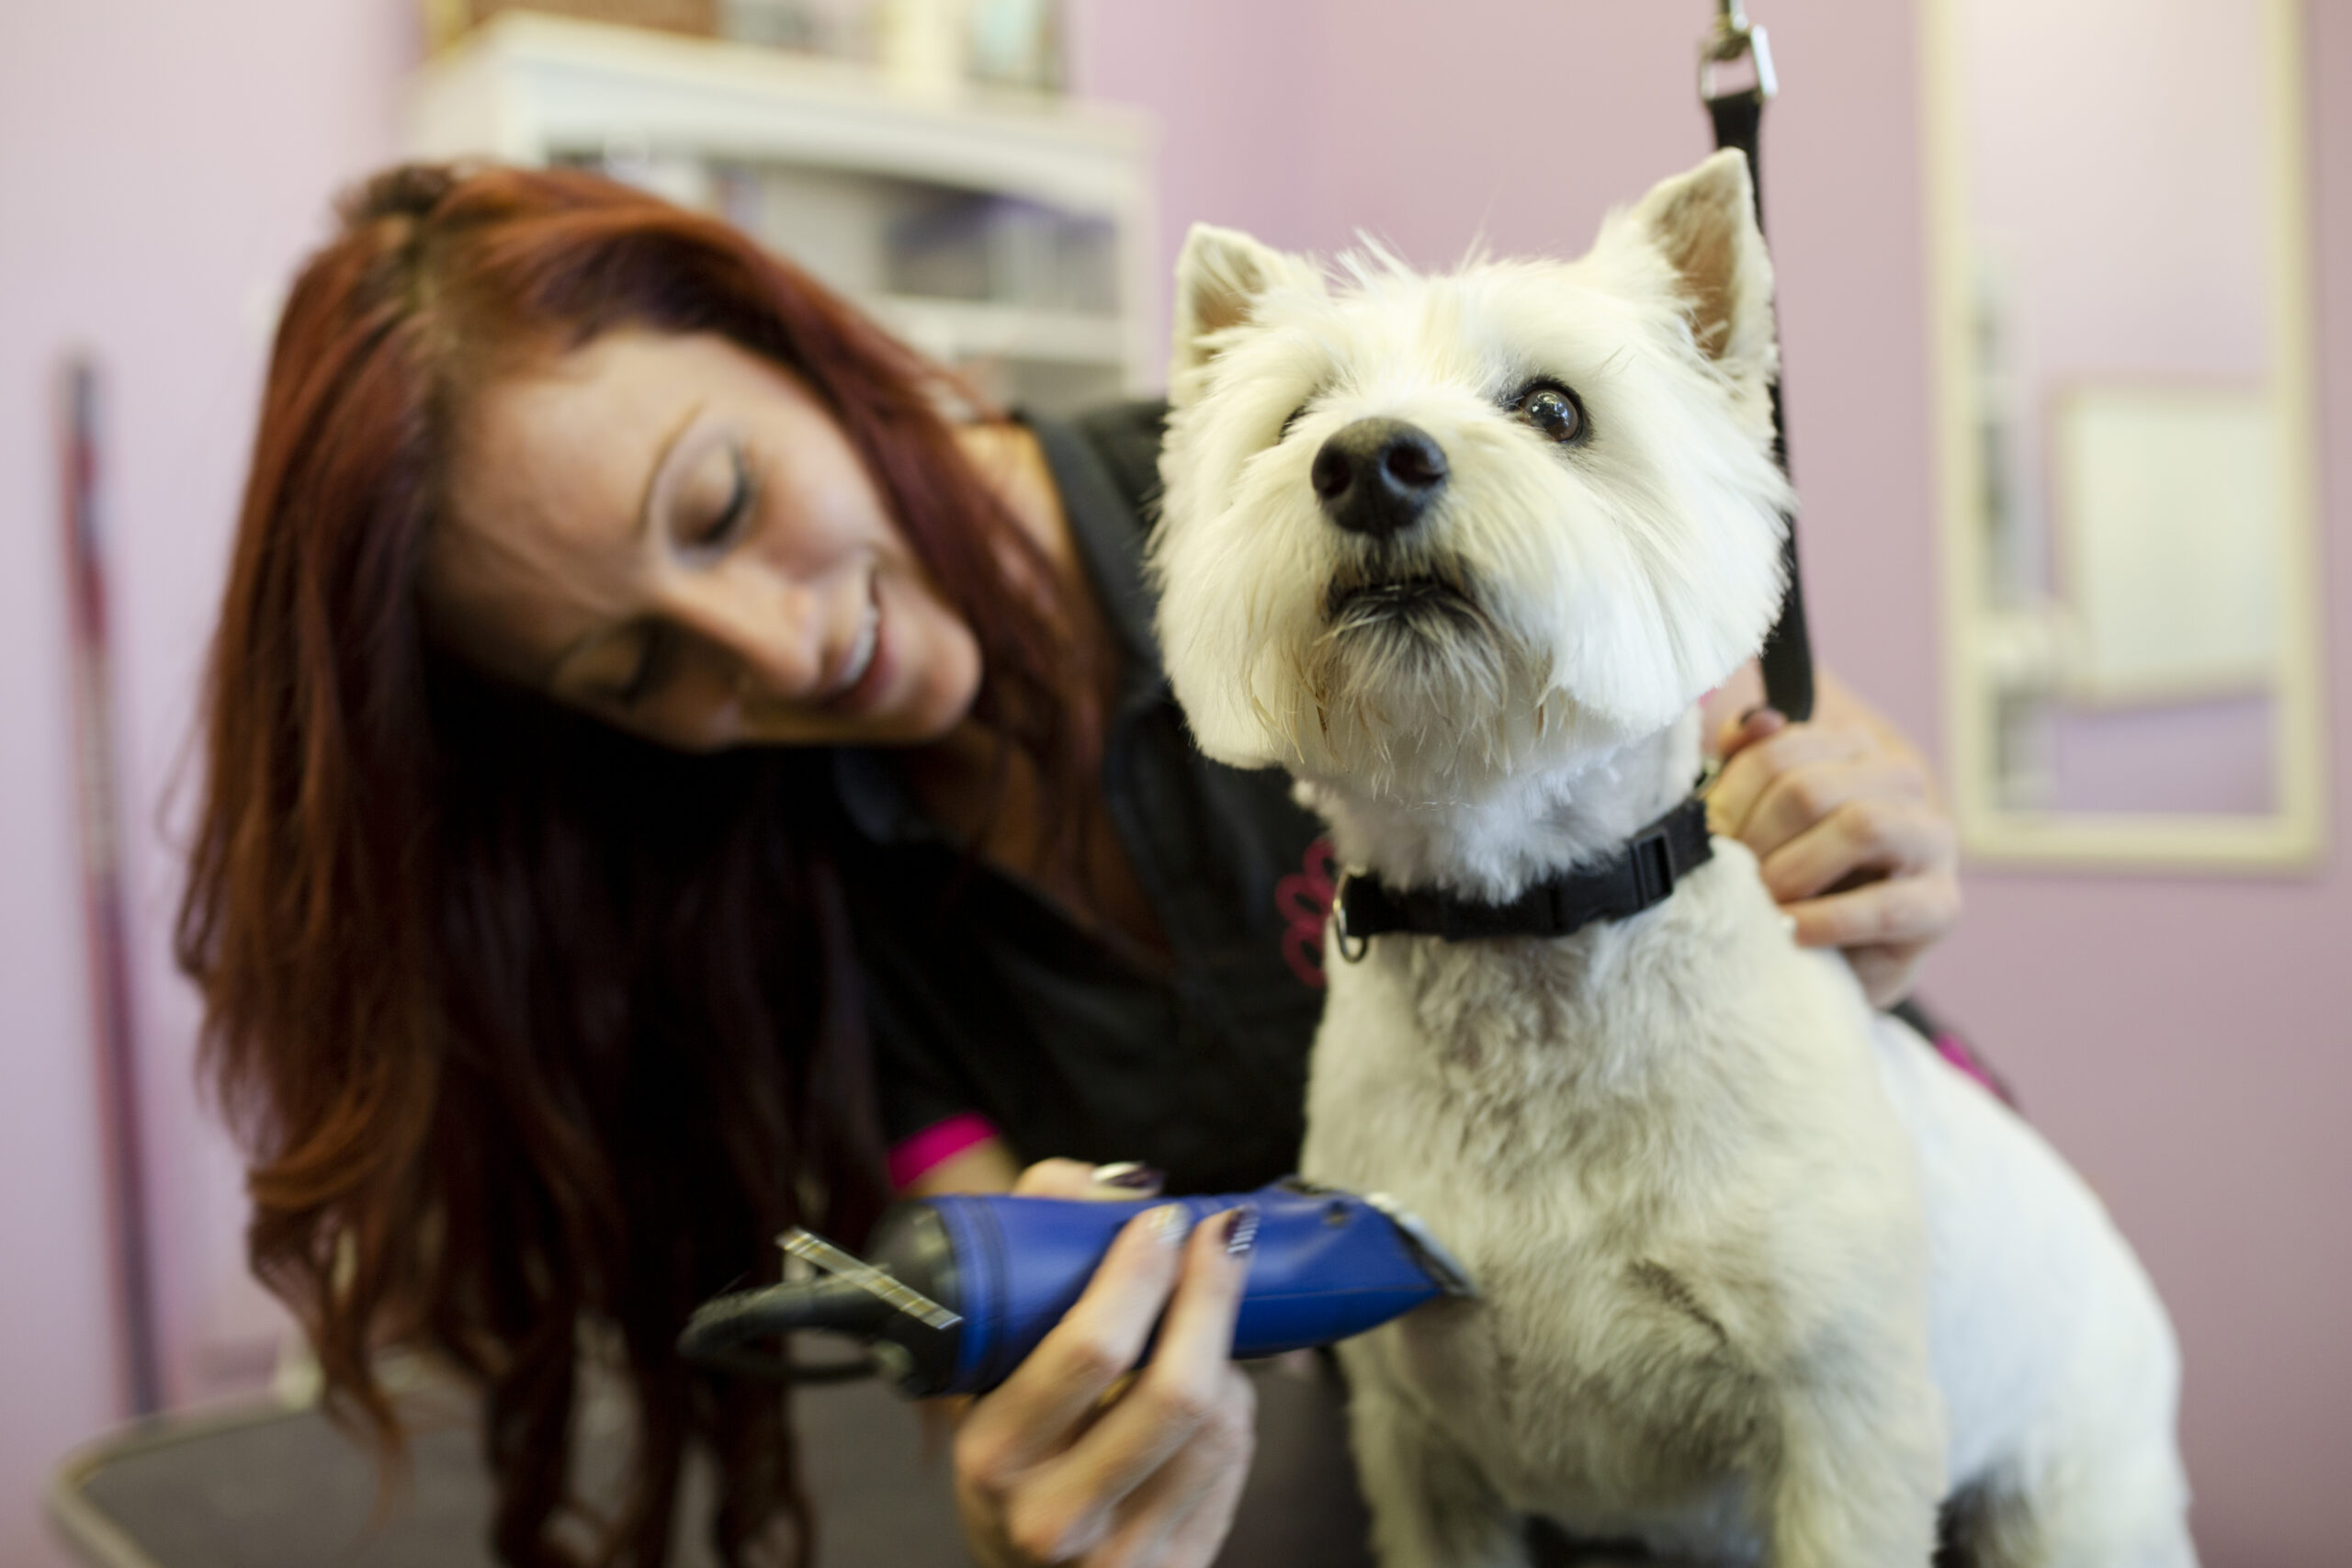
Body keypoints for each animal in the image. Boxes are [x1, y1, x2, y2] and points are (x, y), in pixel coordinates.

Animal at [1148, 150, 2191, 1568]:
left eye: (1553, 407)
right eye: (1299, 416)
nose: (1369, 462)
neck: (1520, 919)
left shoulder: (1844, 1426)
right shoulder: (1419, 1439)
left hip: (2072, 1492)